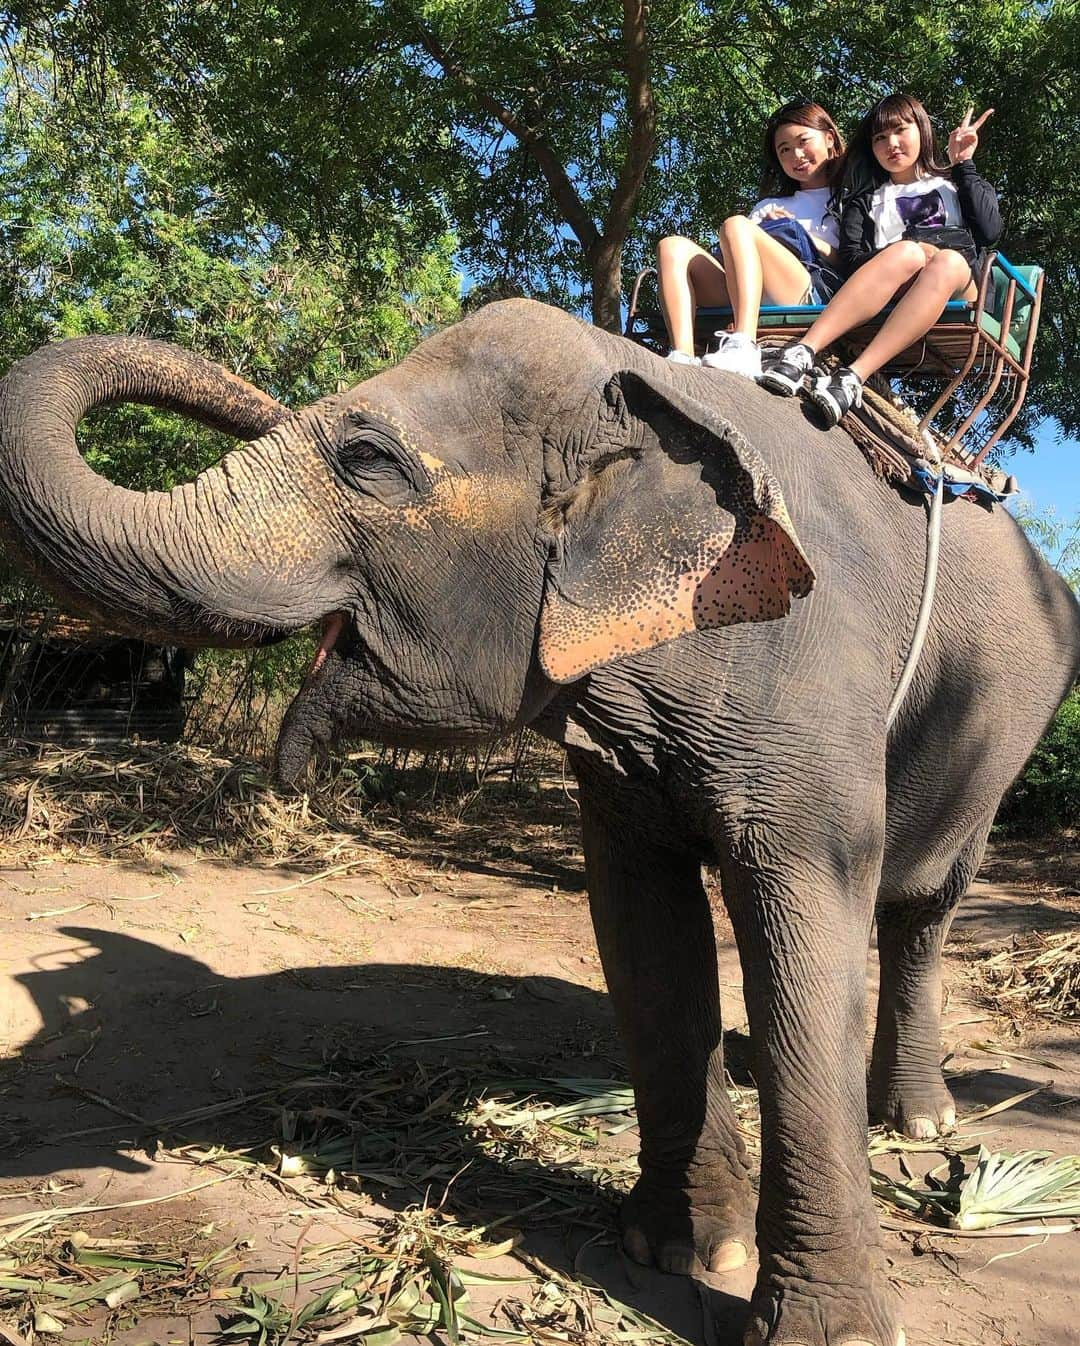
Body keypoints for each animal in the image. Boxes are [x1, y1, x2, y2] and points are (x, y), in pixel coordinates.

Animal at [2, 305, 1077, 1346]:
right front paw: (678, 1251)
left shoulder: (813, 680)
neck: (651, 385)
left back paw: (921, 1125)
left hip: (998, 735)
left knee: (924, 906)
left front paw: (828, 1334)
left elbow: (808, 949)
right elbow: (646, 944)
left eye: (368, 459)